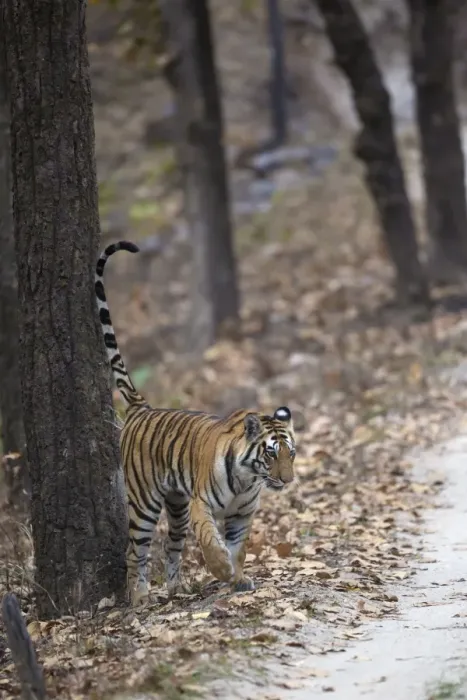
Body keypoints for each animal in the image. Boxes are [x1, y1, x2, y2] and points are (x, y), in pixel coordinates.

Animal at [95, 241, 297, 605]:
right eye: (271, 453)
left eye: (292, 453)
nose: (287, 480)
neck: (249, 478)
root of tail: (142, 408)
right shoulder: (201, 504)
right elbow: (210, 543)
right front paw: (223, 571)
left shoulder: (242, 514)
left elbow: (239, 549)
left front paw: (238, 578)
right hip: (145, 504)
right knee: (135, 550)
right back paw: (140, 596)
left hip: (176, 507)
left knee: (171, 545)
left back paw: (177, 589)